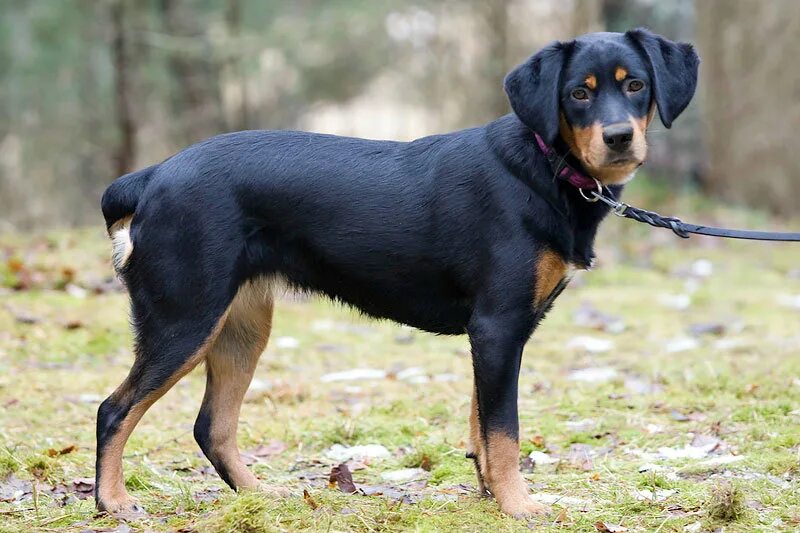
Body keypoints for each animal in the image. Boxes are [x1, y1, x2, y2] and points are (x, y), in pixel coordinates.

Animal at [97, 28, 696, 516]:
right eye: (578, 93)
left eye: (636, 85)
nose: (619, 136)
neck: (544, 166)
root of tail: (151, 178)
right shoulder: (498, 326)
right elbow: (504, 432)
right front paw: (520, 506)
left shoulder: (494, 335)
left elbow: (481, 427)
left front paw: (490, 499)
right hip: (185, 317)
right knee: (114, 409)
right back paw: (114, 504)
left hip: (240, 325)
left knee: (212, 426)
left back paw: (262, 497)